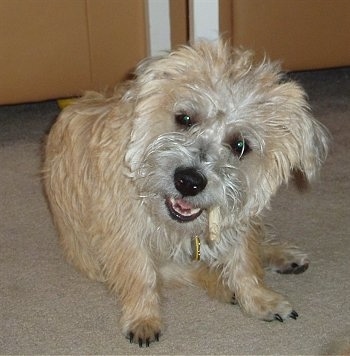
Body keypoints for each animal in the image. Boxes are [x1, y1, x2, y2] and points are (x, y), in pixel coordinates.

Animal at [42, 39, 330, 348]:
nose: (189, 181)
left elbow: (245, 261)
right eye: (185, 118)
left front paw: (259, 299)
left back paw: (279, 257)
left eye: (240, 145)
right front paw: (144, 318)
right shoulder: (126, 236)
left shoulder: (237, 218)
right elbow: (142, 275)